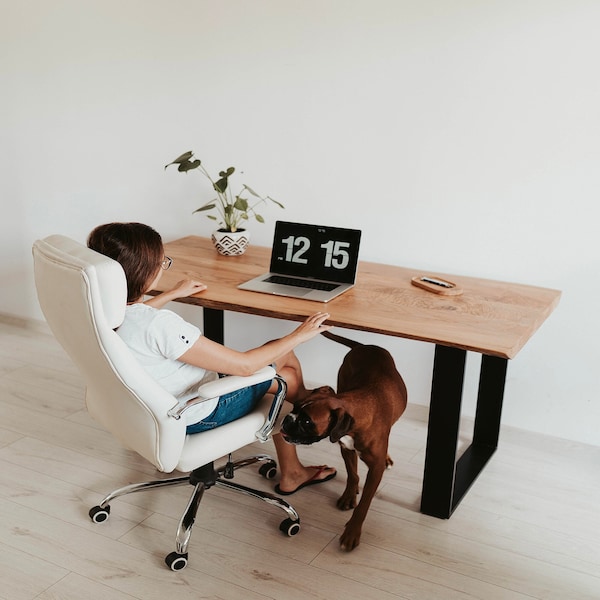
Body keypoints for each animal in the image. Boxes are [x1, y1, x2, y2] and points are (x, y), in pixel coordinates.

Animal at [282, 330, 408, 552]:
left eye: (307, 421)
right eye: (295, 406)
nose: (288, 418)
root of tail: (363, 345)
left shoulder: (375, 470)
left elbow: (364, 505)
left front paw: (351, 533)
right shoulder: (346, 449)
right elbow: (352, 475)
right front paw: (350, 495)